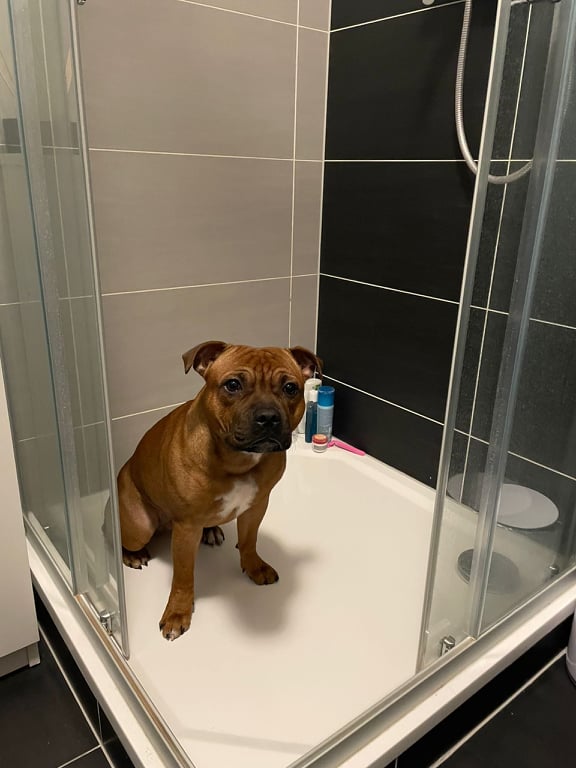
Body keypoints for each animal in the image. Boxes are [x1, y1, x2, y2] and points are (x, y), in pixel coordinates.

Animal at [118, 340, 322, 640]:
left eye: (290, 388)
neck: (238, 459)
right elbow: (183, 576)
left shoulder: (256, 507)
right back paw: (133, 555)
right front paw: (178, 612)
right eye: (233, 385)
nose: (268, 417)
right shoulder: (186, 527)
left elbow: (249, 541)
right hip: (139, 527)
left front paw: (254, 566)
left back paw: (212, 530)